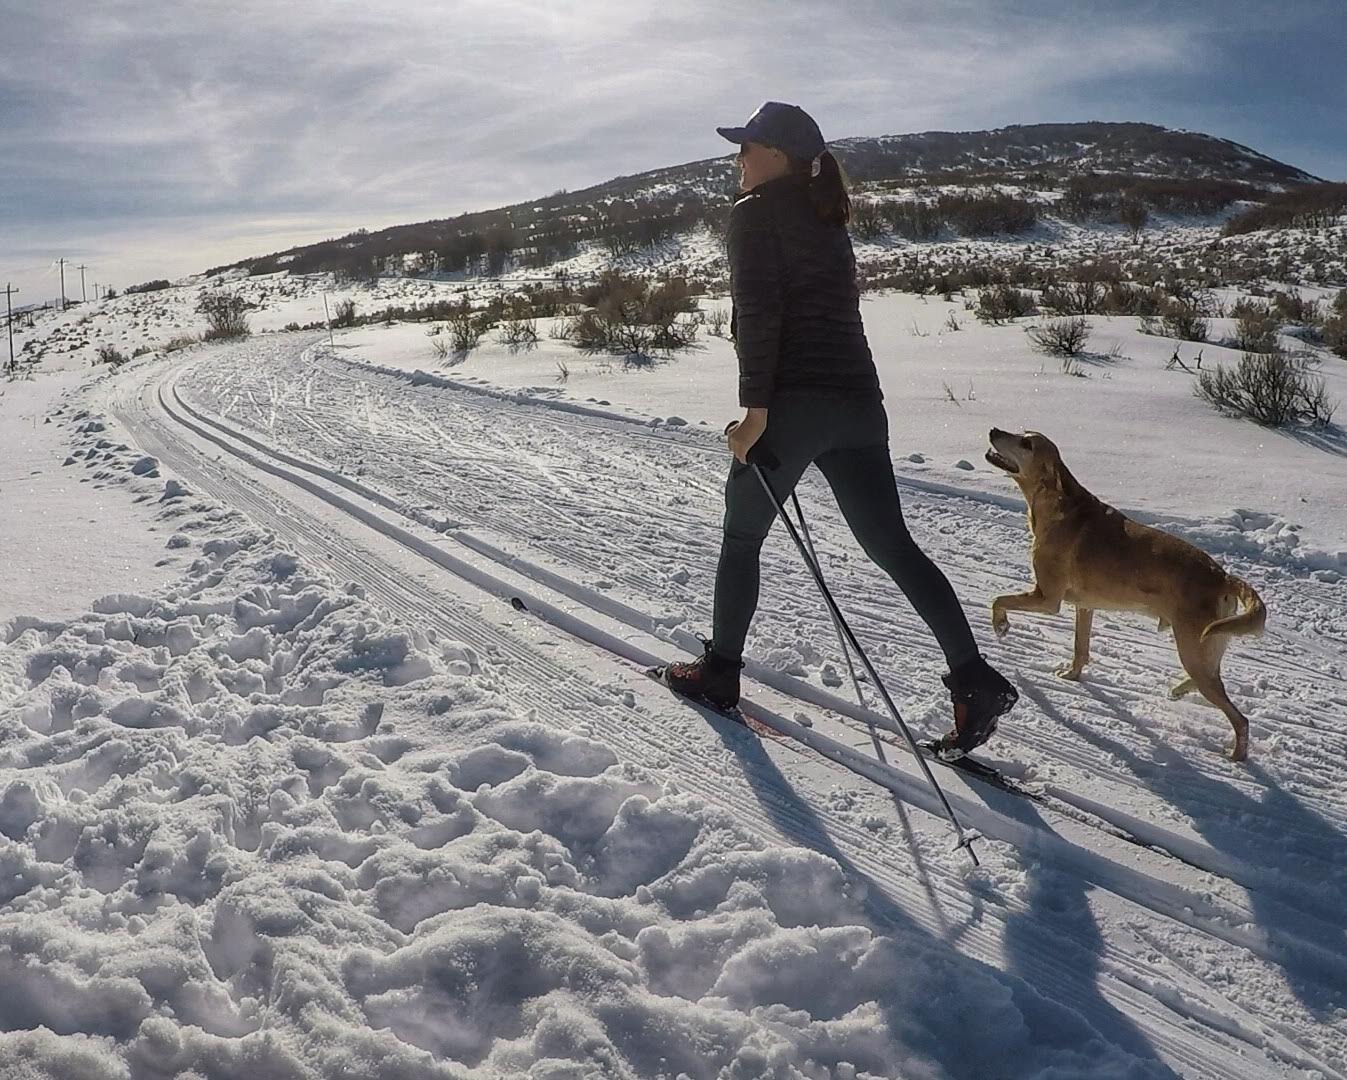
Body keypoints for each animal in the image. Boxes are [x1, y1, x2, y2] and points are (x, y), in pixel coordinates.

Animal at [991, 428, 1260, 759]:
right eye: (1019, 432)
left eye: (1026, 443)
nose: (993, 430)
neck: (1056, 504)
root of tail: (1223, 576)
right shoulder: (1084, 607)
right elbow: (1080, 650)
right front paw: (1072, 675)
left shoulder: (1046, 598)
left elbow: (999, 600)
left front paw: (1001, 625)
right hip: (1206, 651)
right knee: (1210, 684)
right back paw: (1179, 690)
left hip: (1192, 650)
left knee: (1240, 718)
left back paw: (1237, 754)